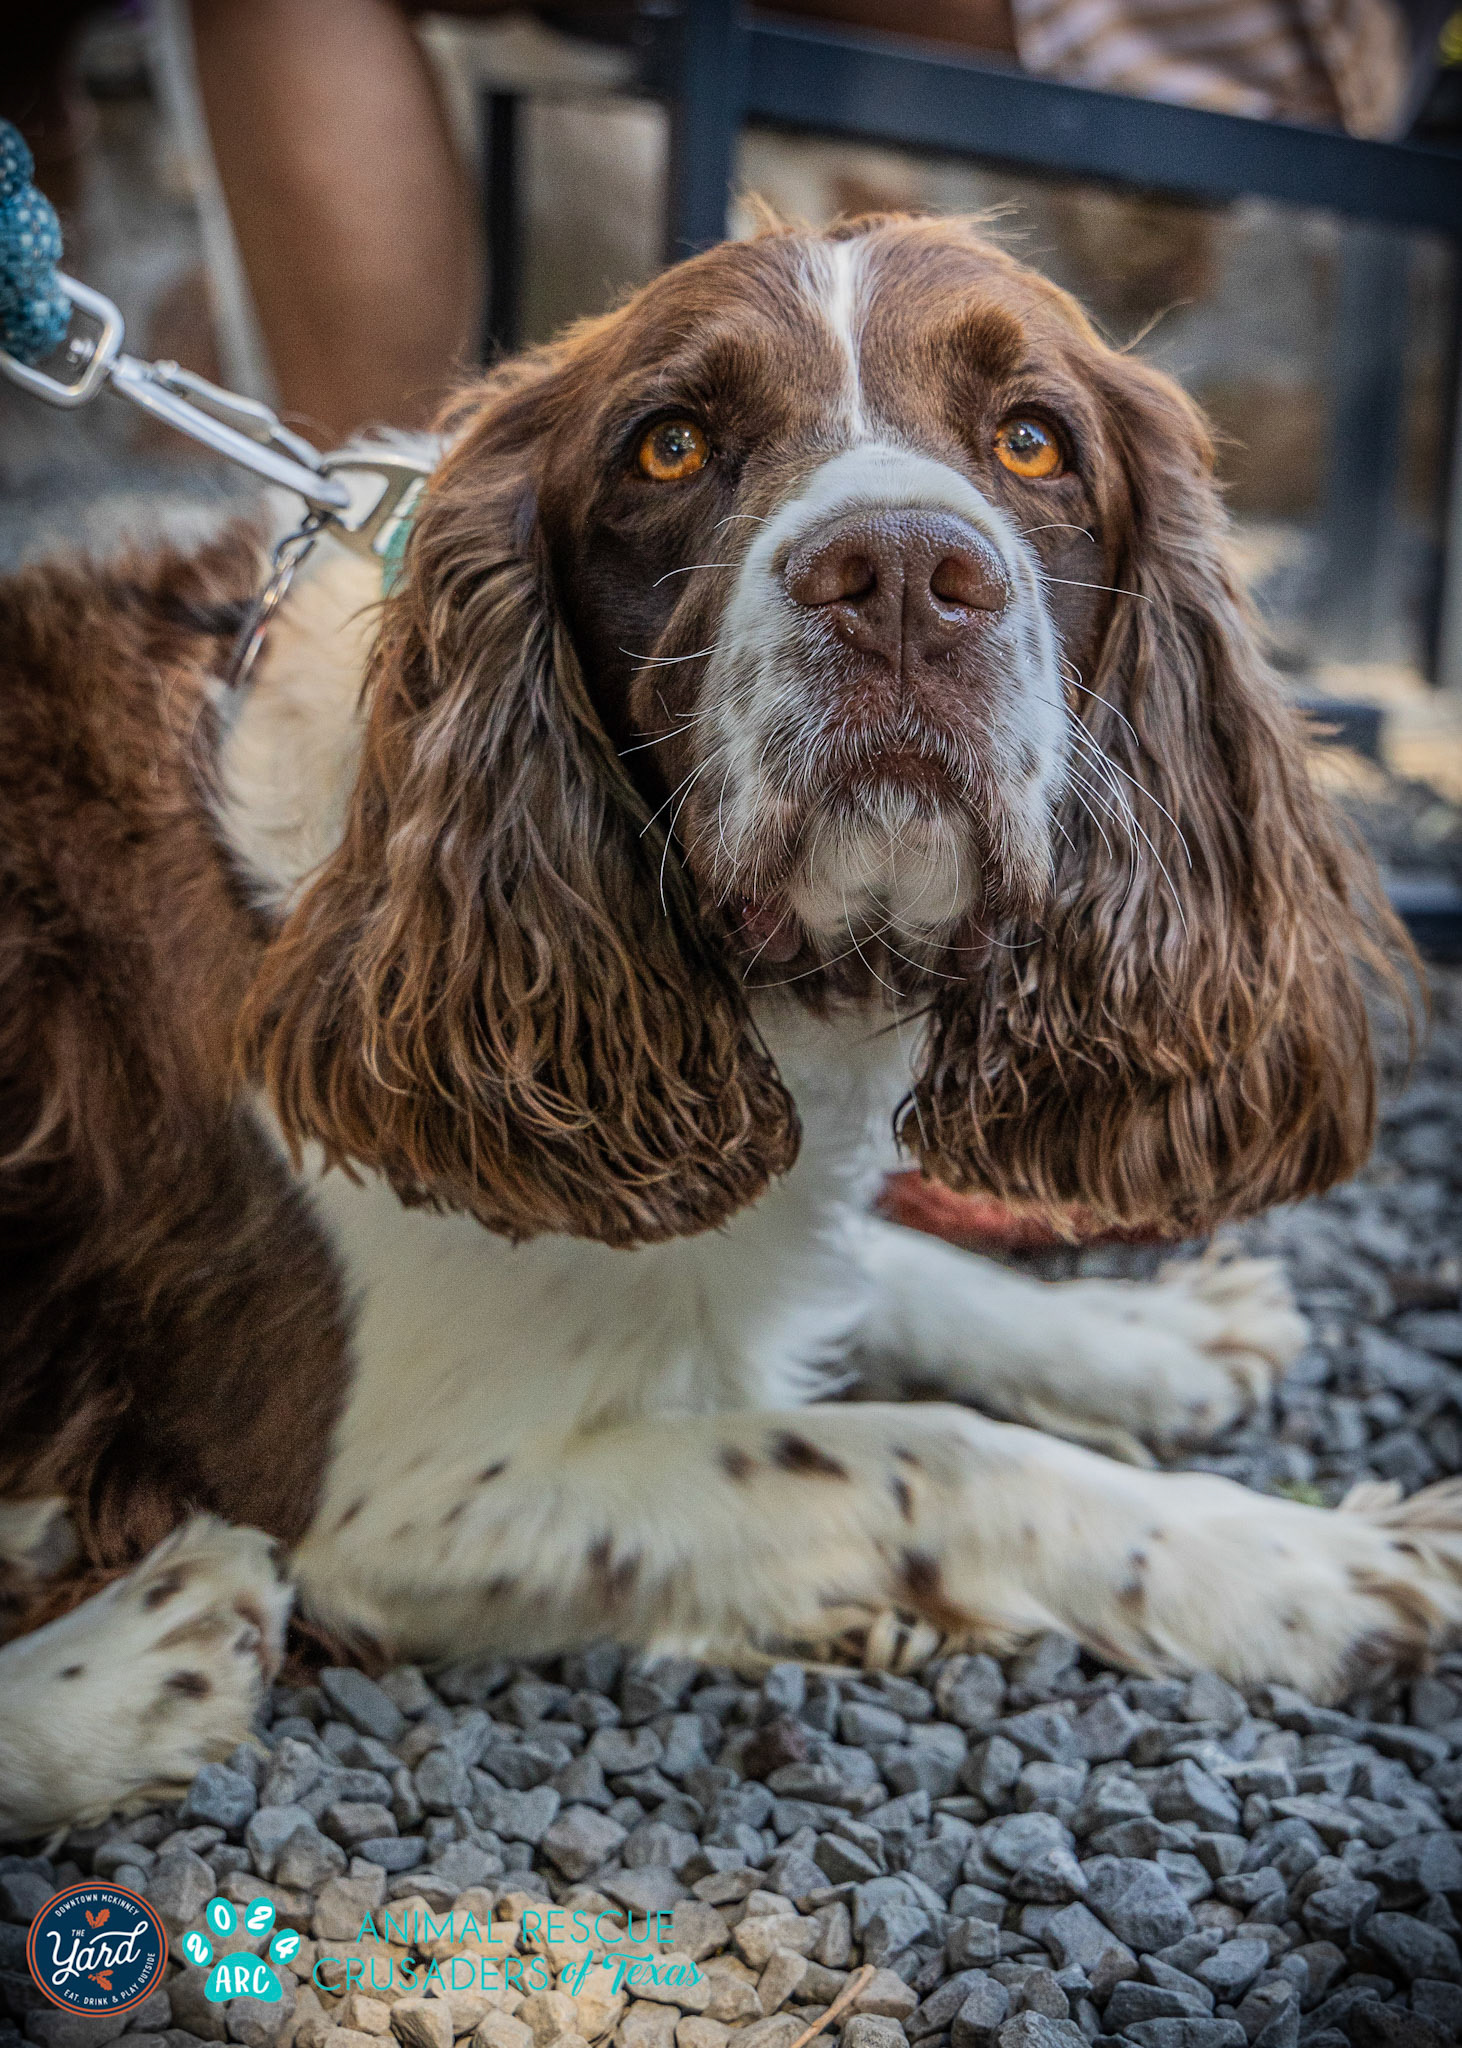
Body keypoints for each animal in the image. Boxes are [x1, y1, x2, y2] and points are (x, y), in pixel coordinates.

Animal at [2, 214, 1458, 1841]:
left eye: (1032, 441)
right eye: (670, 445)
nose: (903, 575)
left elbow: (884, 1267)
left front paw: (1152, 1336)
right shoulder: (398, 1501)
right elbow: (921, 1451)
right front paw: (1303, 1570)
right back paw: (138, 1666)